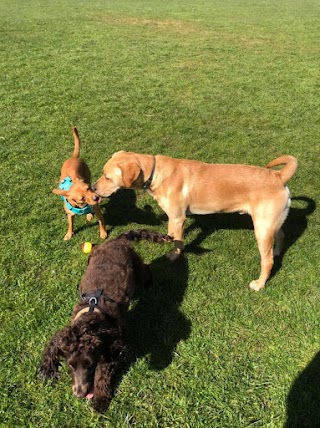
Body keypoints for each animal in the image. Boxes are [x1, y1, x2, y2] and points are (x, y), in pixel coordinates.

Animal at [38, 229, 171, 412]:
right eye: (70, 365)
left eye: (89, 364)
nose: (79, 394)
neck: (91, 312)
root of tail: (115, 240)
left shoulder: (111, 348)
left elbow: (102, 375)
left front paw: (100, 400)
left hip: (135, 264)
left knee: (145, 269)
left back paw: (149, 283)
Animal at [94, 151, 298, 290]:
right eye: (103, 173)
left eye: (107, 177)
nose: (93, 189)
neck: (154, 173)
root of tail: (278, 176)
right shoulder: (173, 217)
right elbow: (170, 233)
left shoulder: (178, 217)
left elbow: (178, 241)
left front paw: (173, 255)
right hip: (271, 224)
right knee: (280, 236)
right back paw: (277, 252)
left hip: (261, 229)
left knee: (267, 261)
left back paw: (259, 284)